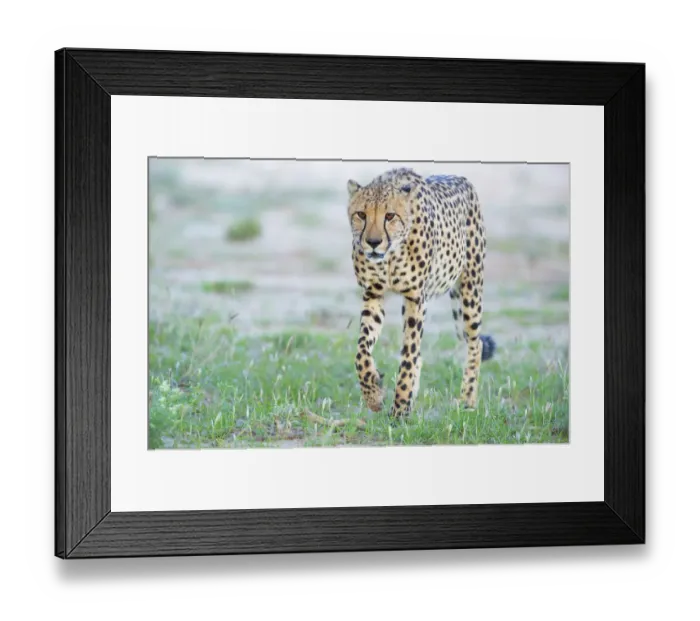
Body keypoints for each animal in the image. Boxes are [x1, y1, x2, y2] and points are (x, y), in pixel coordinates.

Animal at [346, 167, 496, 418]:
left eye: (390, 216)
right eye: (361, 214)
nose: (374, 242)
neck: (391, 256)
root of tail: (462, 179)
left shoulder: (415, 298)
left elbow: (409, 355)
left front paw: (400, 408)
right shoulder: (373, 294)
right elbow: (361, 352)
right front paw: (374, 395)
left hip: (470, 289)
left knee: (476, 344)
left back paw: (467, 399)